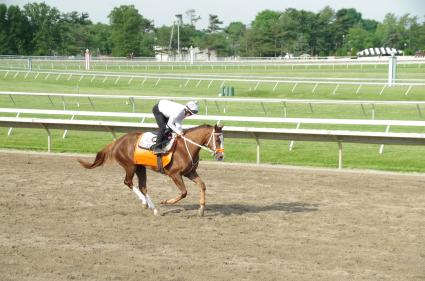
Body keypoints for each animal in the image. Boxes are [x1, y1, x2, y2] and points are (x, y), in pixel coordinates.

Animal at [76, 123, 224, 215]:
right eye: (217, 140)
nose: (221, 156)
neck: (185, 147)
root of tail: (117, 142)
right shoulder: (175, 174)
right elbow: (184, 192)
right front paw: (166, 201)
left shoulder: (190, 172)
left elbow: (202, 185)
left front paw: (201, 209)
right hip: (130, 166)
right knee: (128, 182)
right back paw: (150, 205)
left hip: (140, 168)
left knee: (143, 187)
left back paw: (150, 206)